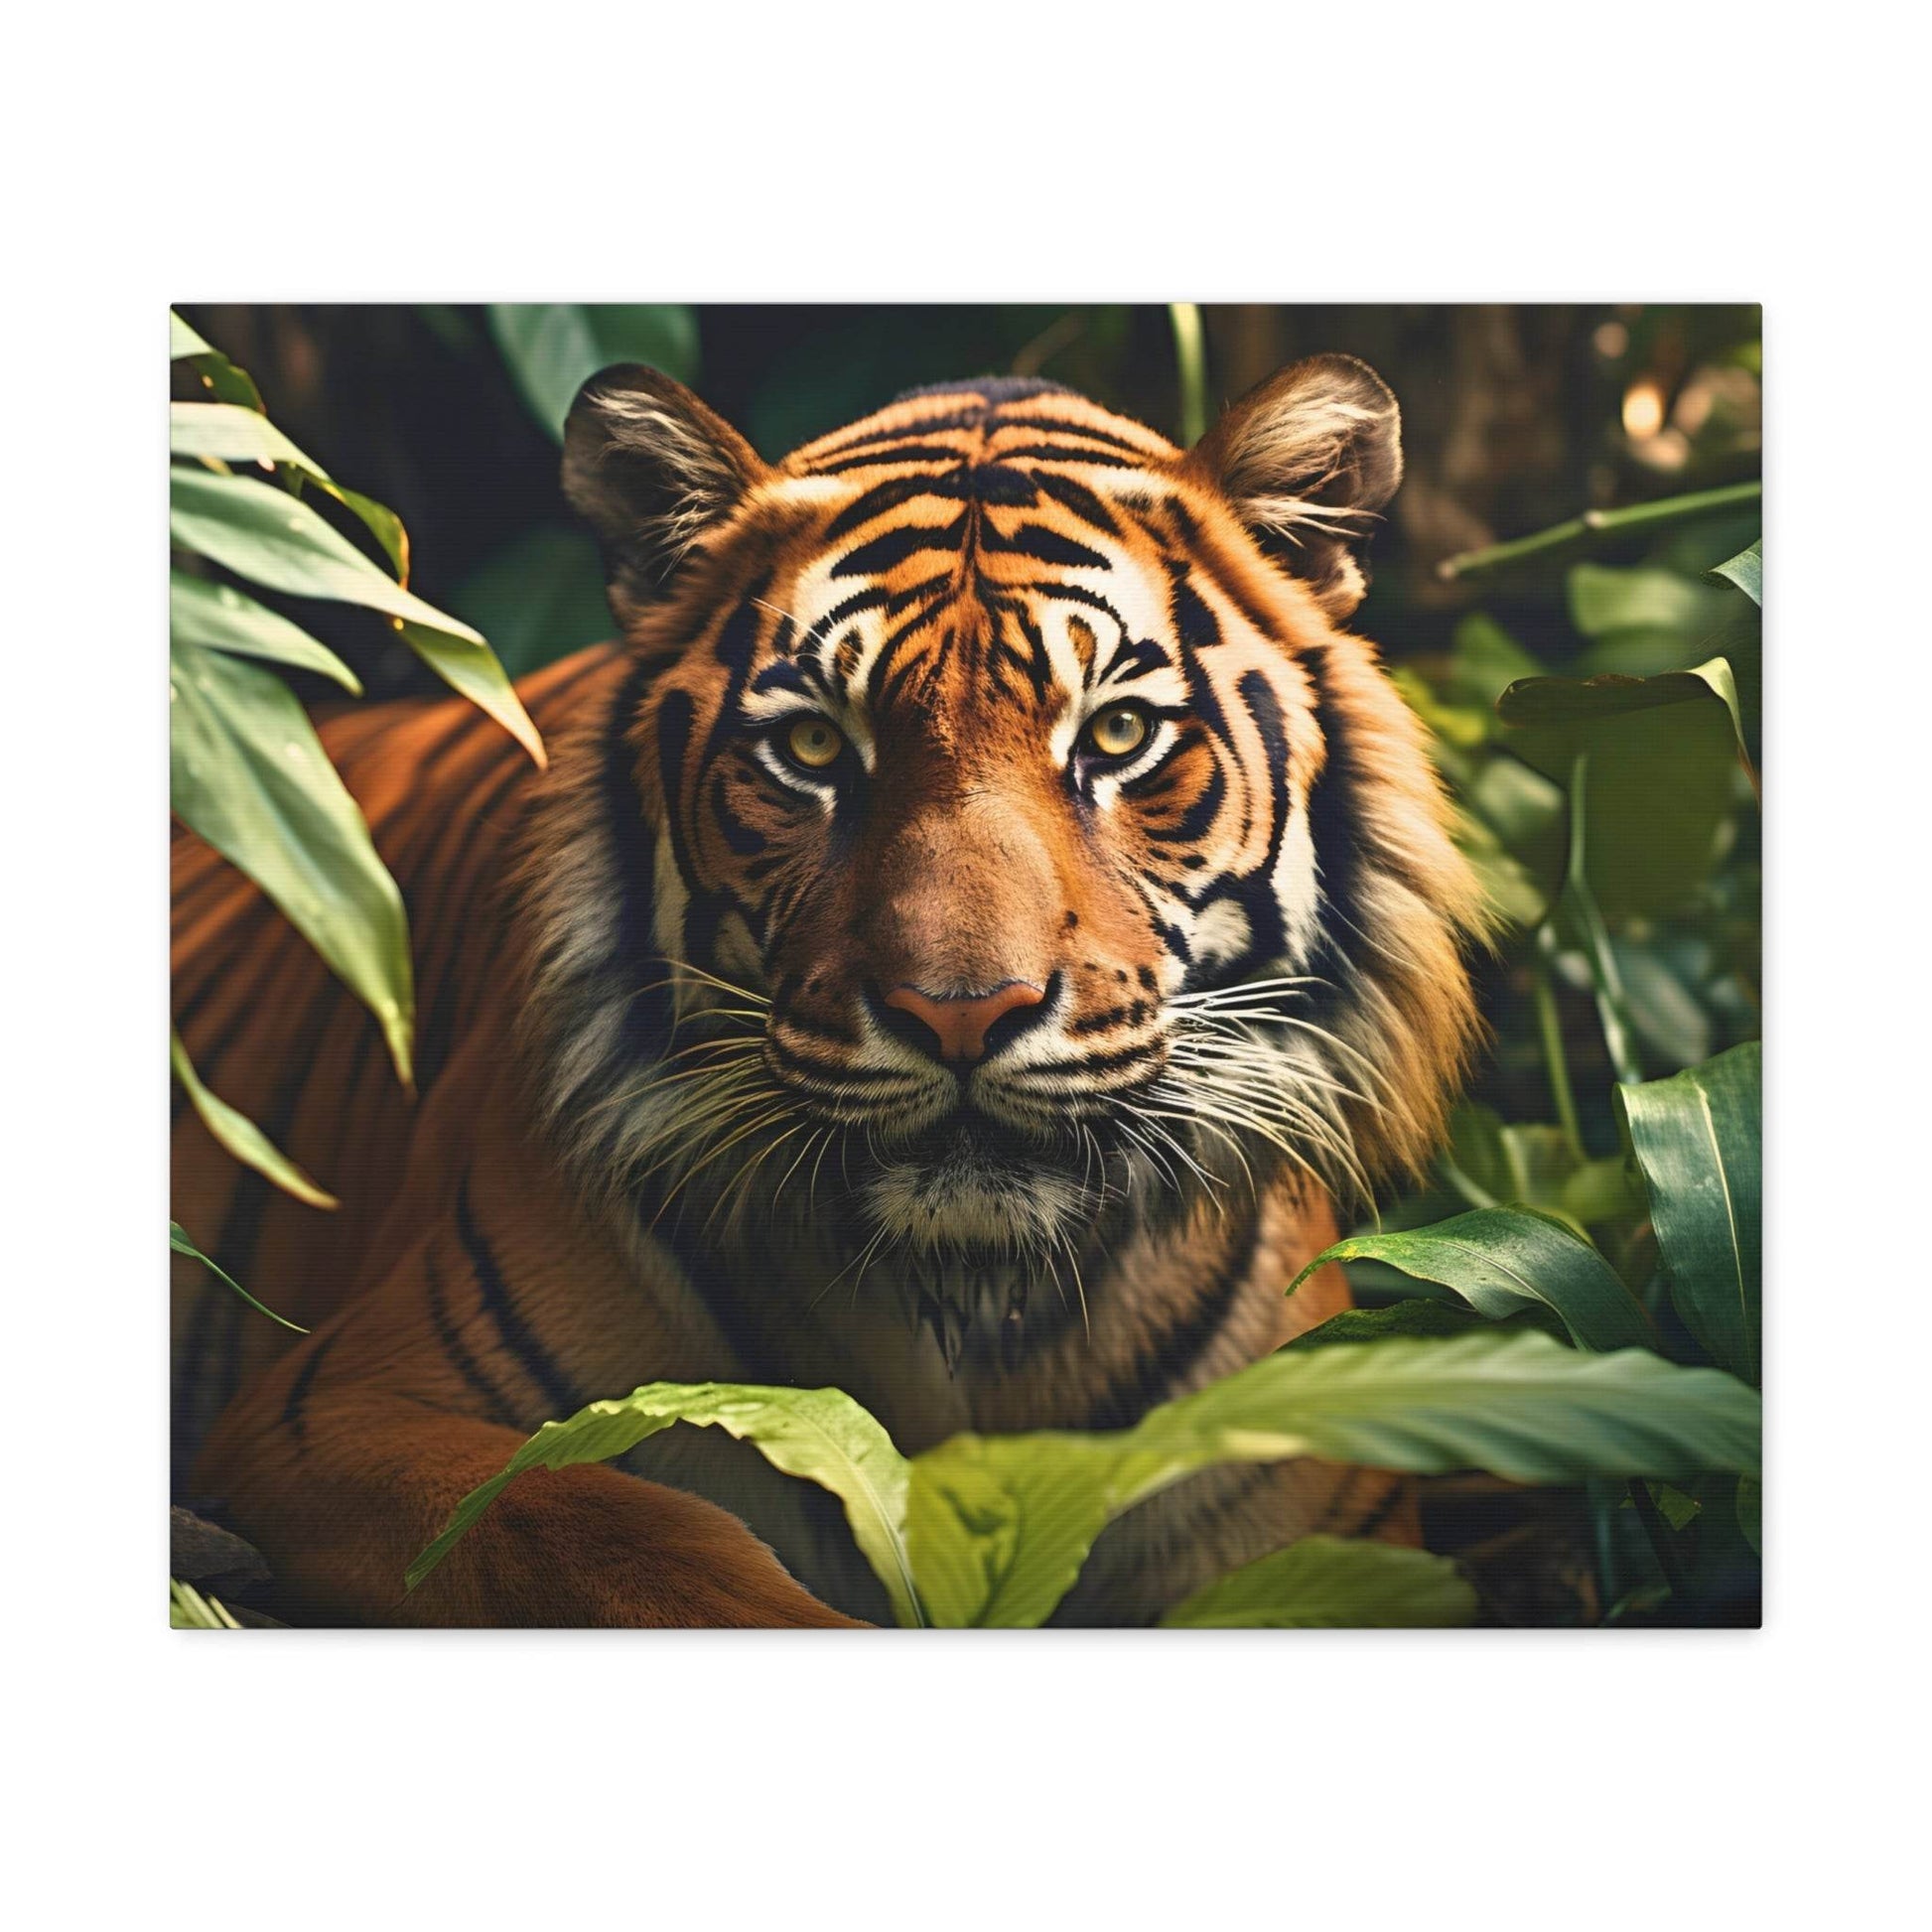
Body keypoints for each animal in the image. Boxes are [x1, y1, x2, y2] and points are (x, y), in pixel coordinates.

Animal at [171, 355, 1489, 1627]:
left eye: (1116, 735)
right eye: (810, 749)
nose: (960, 1010)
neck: (968, 1304)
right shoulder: (337, 1410)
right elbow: (615, 1535)